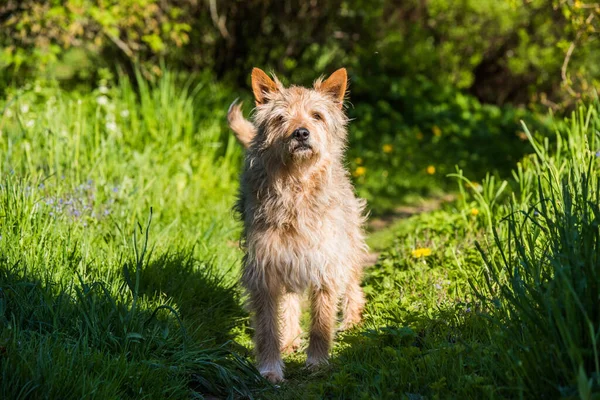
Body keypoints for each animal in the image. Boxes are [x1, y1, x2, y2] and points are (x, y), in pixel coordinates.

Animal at [230, 68, 368, 382]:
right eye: (281, 118)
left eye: (316, 115)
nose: (301, 133)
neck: (296, 185)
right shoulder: (265, 269)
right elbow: (268, 326)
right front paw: (270, 368)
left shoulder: (326, 263)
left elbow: (321, 321)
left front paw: (317, 362)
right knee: (290, 304)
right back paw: (290, 339)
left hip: (349, 244)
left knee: (352, 283)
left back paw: (352, 321)